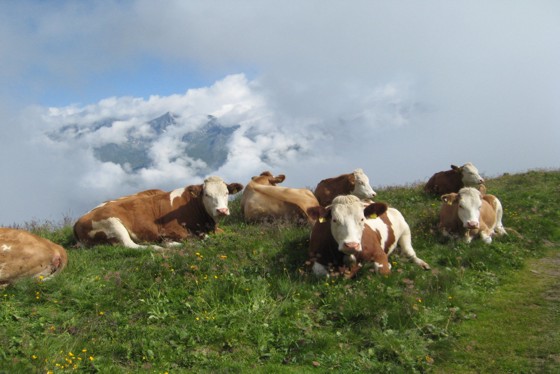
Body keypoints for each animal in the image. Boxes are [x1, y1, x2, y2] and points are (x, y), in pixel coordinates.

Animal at [72, 177, 243, 250]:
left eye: (226, 193)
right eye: (207, 194)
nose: (222, 210)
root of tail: (78, 220)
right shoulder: (169, 230)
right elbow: (196, 238)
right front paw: (169, 242)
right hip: (112, 223)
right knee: (129, 245)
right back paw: (158, 247)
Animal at [306, 196, 434, 278]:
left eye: (362, 219)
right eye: (334, 220)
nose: (351, 245)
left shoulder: (379, 254)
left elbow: (382, 270)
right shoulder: (316, 260)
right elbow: (325, 275)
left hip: (405, 230)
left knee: (410, 253)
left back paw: (423, 264)